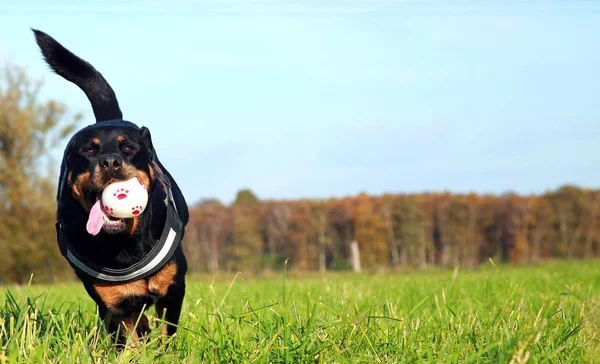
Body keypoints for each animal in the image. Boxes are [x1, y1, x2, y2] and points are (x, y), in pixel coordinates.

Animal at [31, 29, 190, 344]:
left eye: (127, 148)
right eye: (89, 151)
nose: (110, 162)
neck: (124, 244)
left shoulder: (173, 288)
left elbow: (167, 332)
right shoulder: (113, 303)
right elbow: (129, 337)